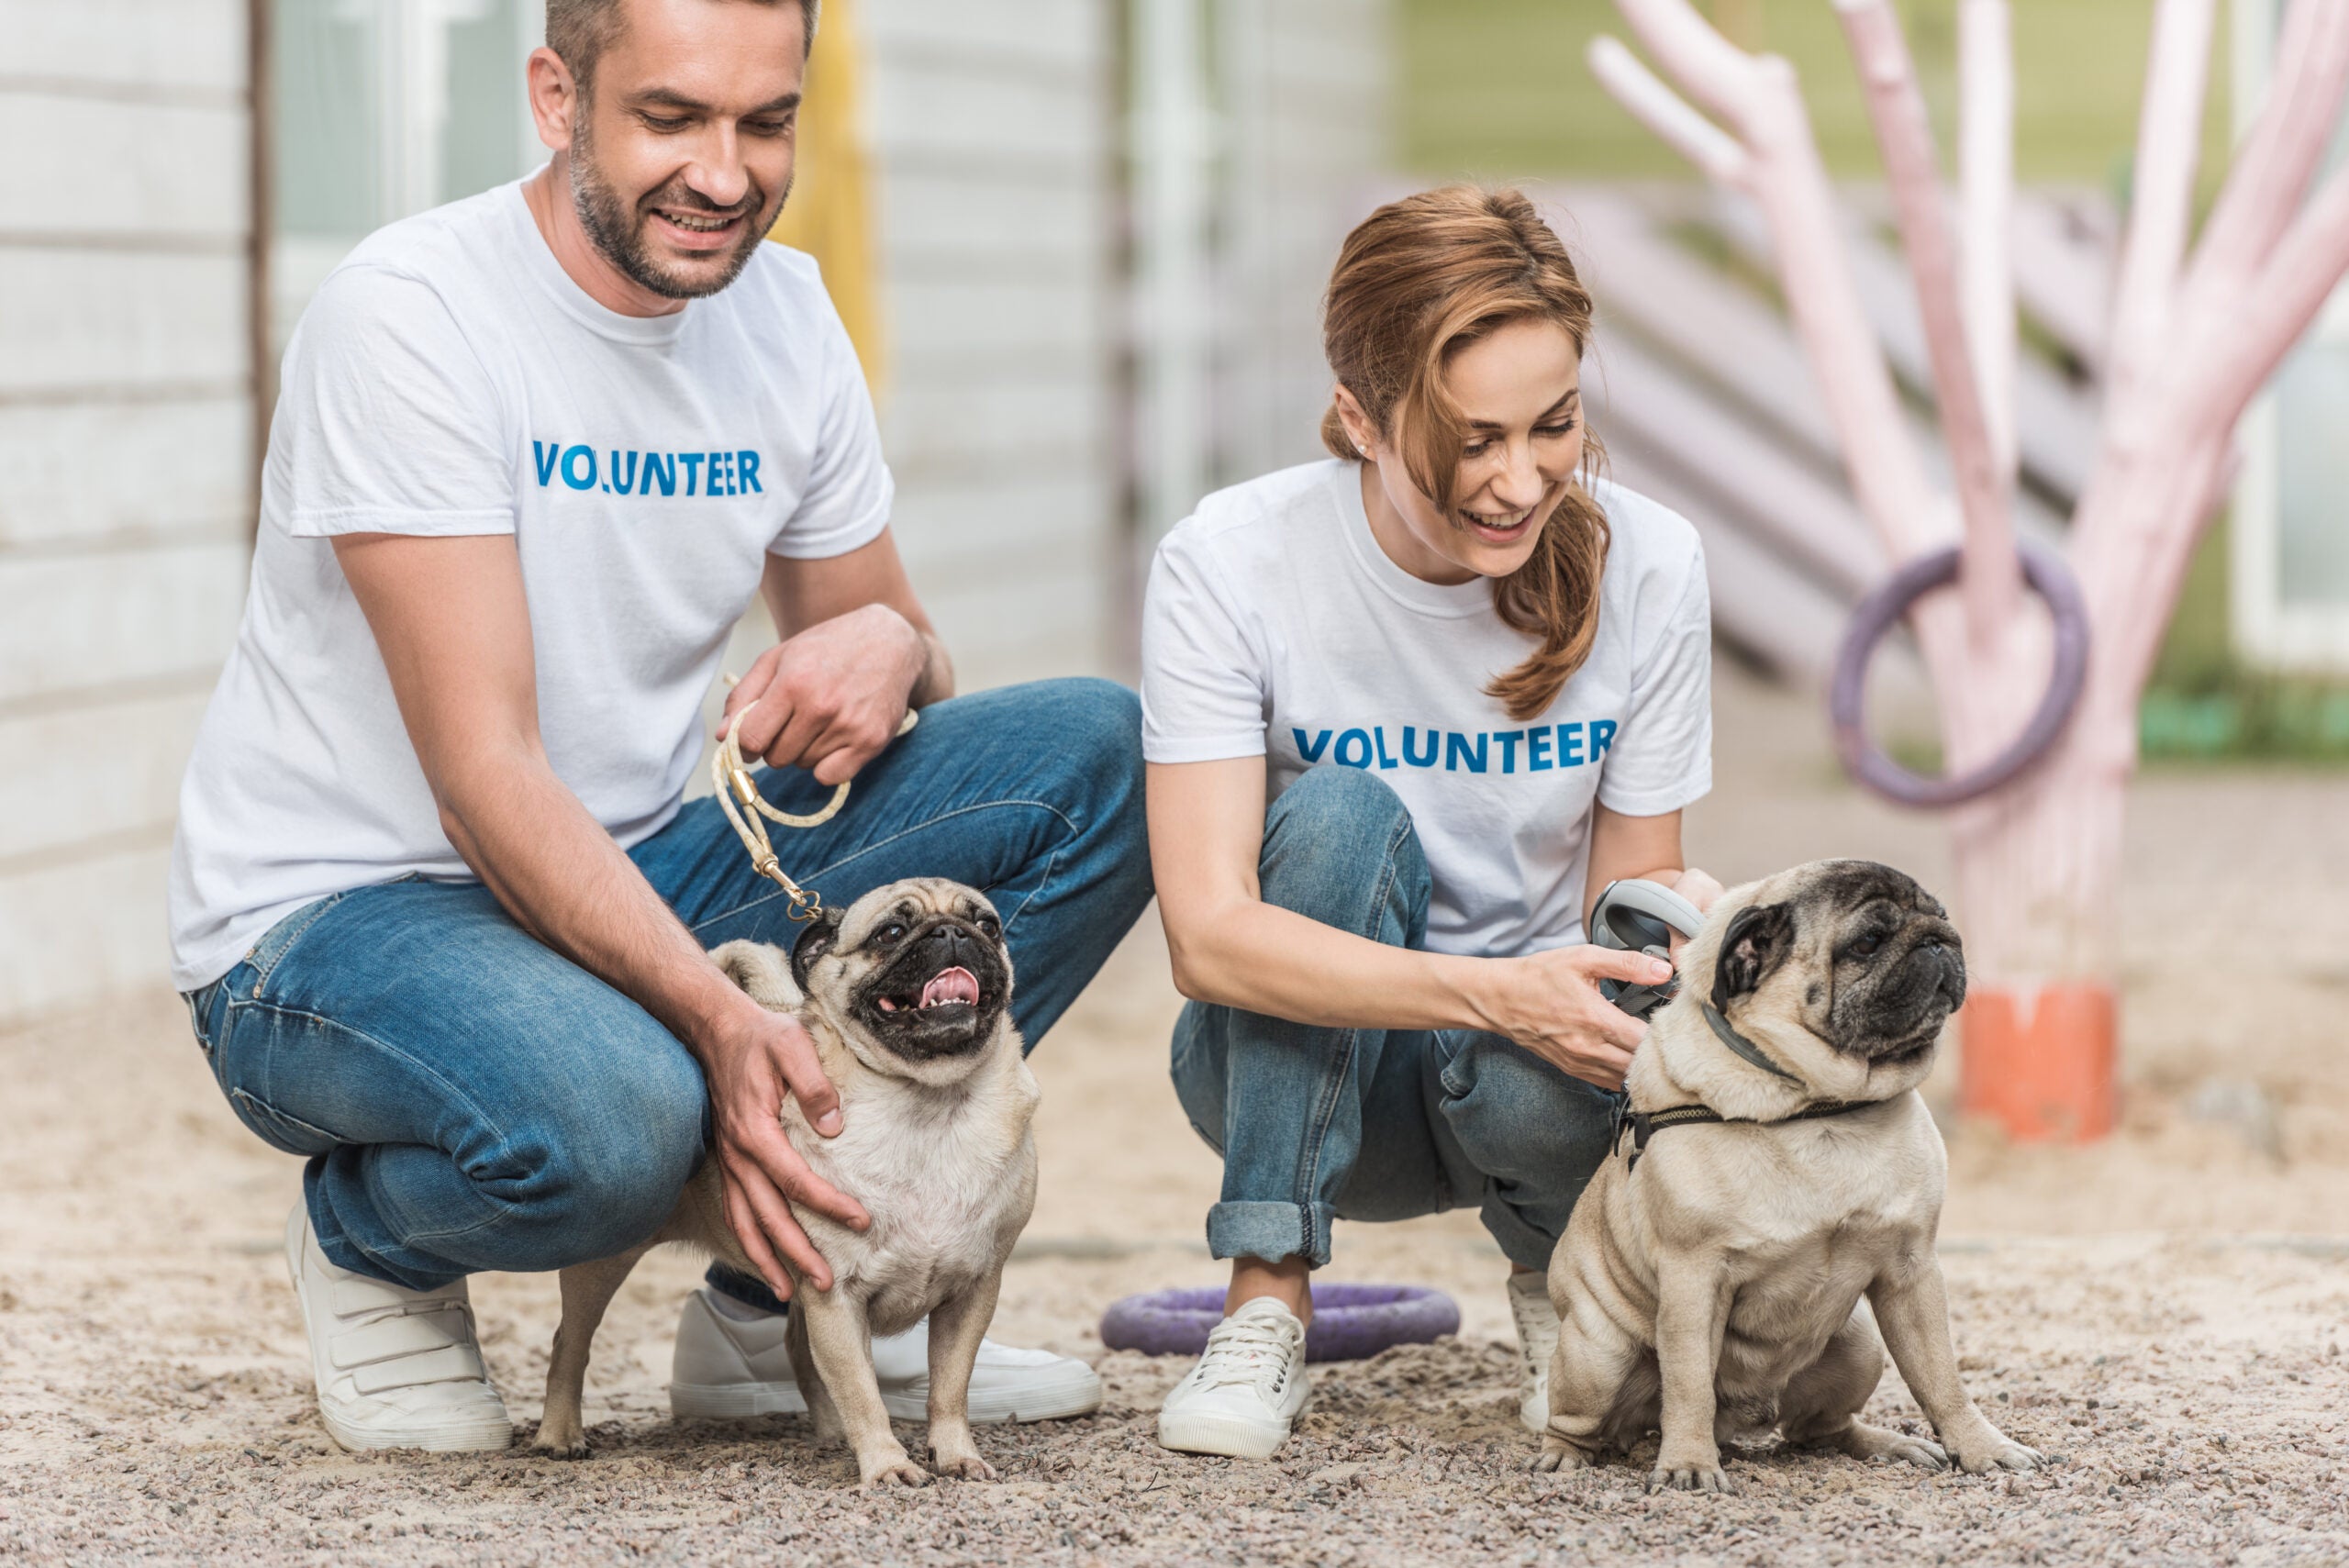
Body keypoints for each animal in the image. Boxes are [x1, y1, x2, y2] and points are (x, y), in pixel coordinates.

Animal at [544, 877, 1042, 1493]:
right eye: (891, 932)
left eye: (989, 926)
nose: (953, 932)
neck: (926, 1105)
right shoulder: (836, 1294)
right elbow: (863, 1393)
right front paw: (887, 1465)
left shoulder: (972, 1291)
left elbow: (949, 1389)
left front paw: (955, 1455)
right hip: (607, 1259)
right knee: (570, 1343)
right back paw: (559, 1434)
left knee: (800, 1354)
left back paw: (829, 1431)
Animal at [1531, 863, 2048, 1493]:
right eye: (1868, 942)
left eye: (1941, 916)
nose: (1936, 940)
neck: (1818, 1108)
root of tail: (1744, 1419)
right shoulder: (1692, 1281)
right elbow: (1689, 1387)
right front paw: (1688, 1465)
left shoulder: (1912, 1272)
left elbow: (1942, 1378)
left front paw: (1980, 1448)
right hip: (1597, 1356)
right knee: (1582, 1421)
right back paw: (1565, 1457)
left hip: (1860, 1344)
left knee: (1819, 1431)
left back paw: (1888, 1445)